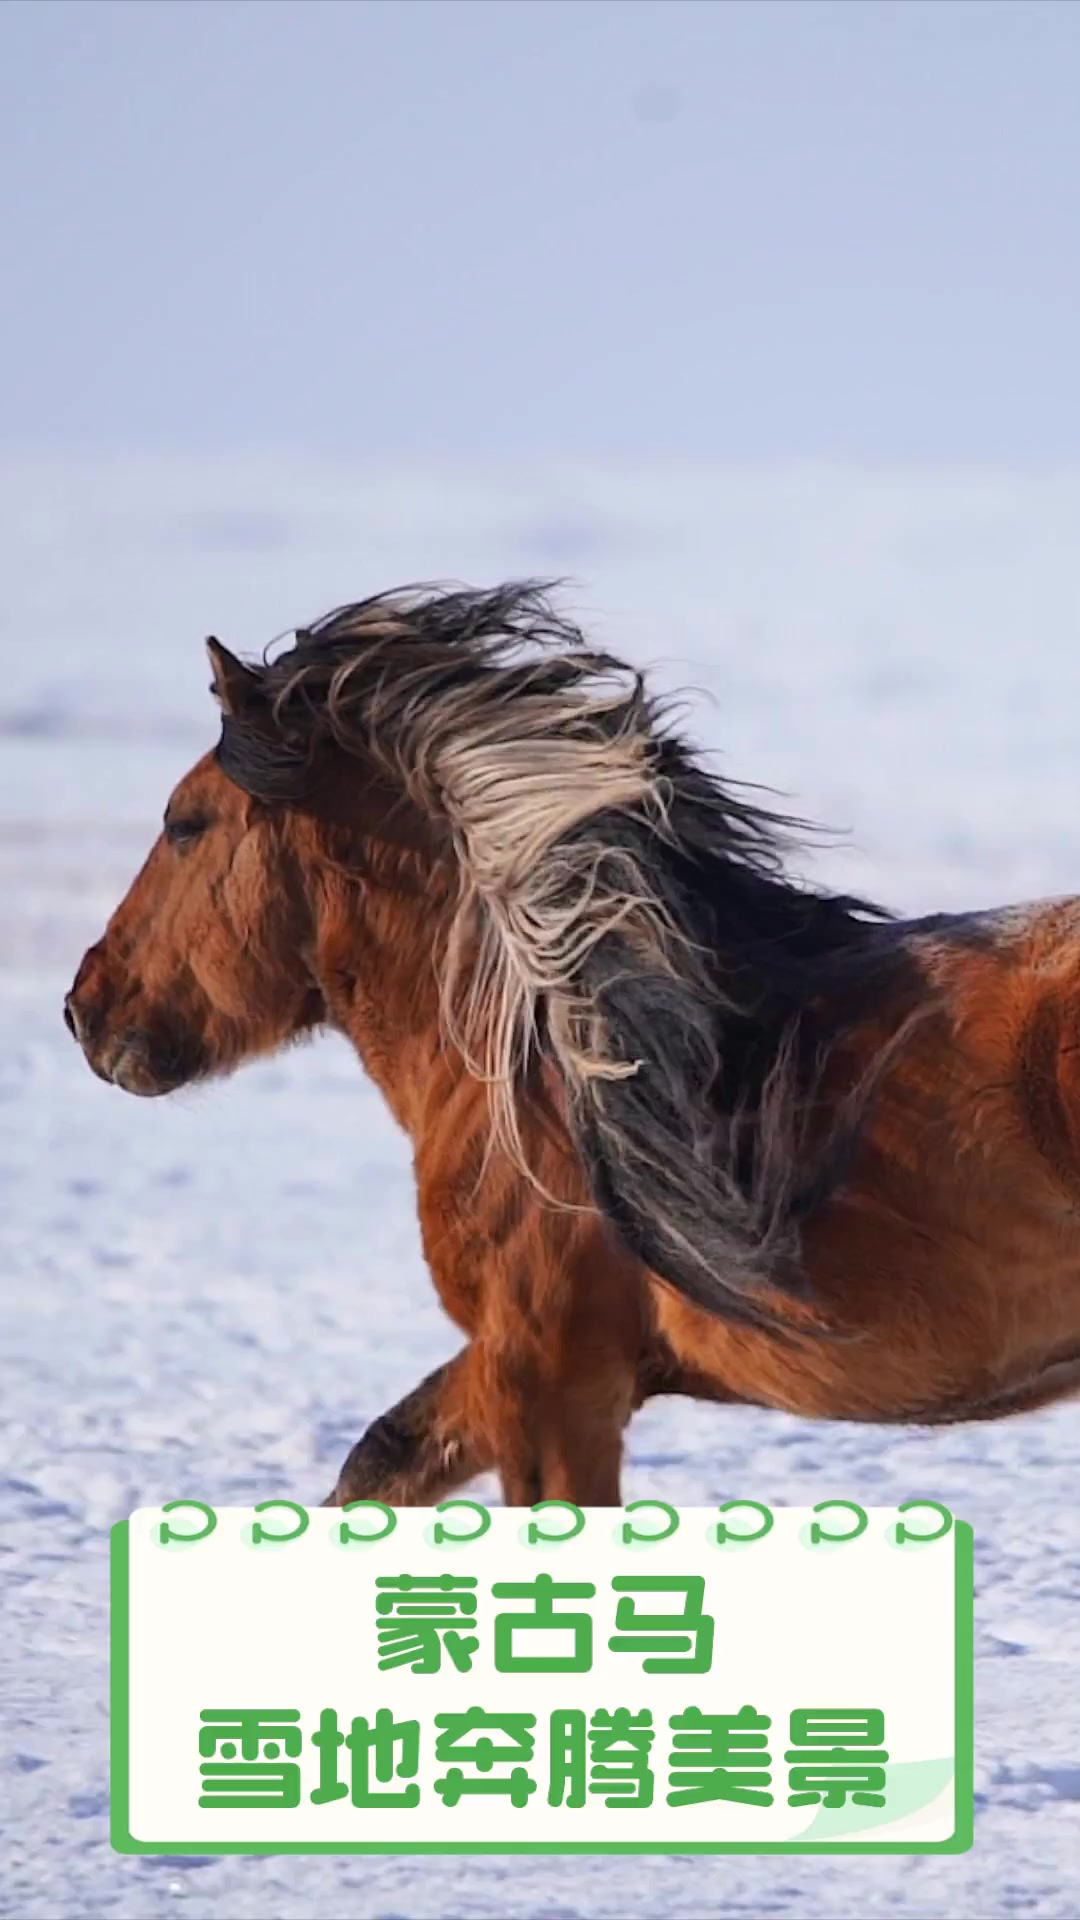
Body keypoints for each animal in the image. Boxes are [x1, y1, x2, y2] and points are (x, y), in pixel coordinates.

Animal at [61, 576, 1080, 1505]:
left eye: (185, 824)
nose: (85, 1008)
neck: (553, 1059)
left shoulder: (546, 1374)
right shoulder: (515, 1368)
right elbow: (379, 1464)